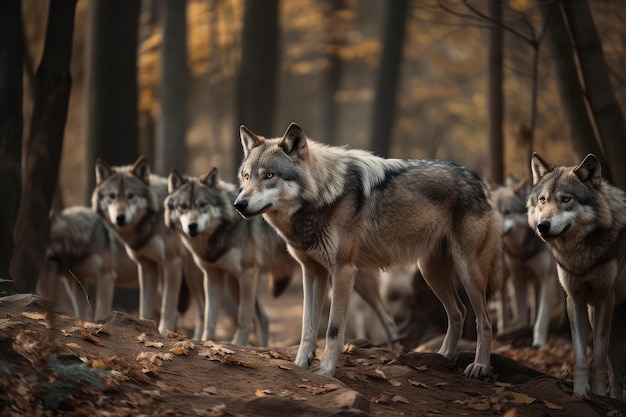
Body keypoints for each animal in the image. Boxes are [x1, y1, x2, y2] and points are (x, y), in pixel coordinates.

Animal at [91, 156, 186, 334]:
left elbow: (168, 308)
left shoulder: (172, 262)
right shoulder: (147, 265)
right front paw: (145, 325)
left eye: (131, 196)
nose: (120, 217)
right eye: (112, 196)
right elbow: (145, 307)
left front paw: (164, 332)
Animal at [232, 121, 500, 376]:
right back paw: (443, 357)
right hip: (429, 272)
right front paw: (300, 365)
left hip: (467, 272)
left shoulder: (343, 271)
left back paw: (480, 367)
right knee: (458, 313)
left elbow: (333, 329)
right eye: (246, 176)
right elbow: (307, 326)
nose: (238, 204)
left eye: (269, 175)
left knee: (484, 319)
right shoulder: (312, 272)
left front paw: (326, 371)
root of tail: (478, 180)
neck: (323, 196)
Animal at [492, 177, 556, 346]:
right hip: (504, 276)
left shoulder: (546, 278)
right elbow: (521, 313)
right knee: (503, 304)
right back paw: (504, 330)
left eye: (507, 212)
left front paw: (538, 342)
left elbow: (541, 316)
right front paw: (519, 331)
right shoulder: (518, 277)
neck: (522, 249)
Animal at [528, 151, 624, 398]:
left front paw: (598, 394)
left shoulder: (604, 299)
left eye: (566, 199)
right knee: (617, 376)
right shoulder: (576, 300)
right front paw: (581, 393)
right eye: (543, 200)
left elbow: (597, 358)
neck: (581, 258)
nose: (543, 226)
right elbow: (580, 356)